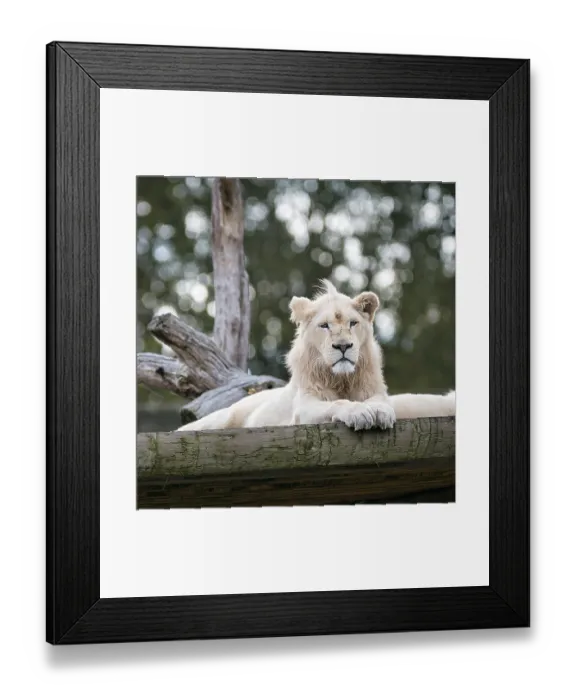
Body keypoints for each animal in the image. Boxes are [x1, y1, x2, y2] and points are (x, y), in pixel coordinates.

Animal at [177, 280, 455, 432]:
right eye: (324, 326)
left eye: (353, 323)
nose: (343, 346)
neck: (342, 380)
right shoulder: (305, 408)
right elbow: (337, 403)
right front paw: (359, 413)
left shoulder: (376, 392)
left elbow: (381, 404)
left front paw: (379, 413)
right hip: (221, 418)